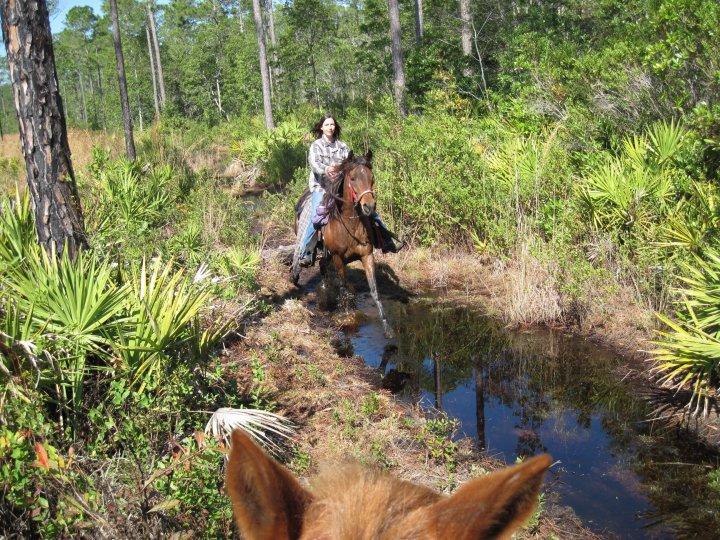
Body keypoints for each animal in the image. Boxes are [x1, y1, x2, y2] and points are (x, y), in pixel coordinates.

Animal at [294, 152, 390, 336]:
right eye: (352, 178)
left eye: (372, 177)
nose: (369, 206)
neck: (349, 224)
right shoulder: (338, 257)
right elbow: (344, 286)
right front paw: (348, 315)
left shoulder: (366, 255)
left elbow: (374, 290)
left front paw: (387, 326)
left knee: (323, 267)